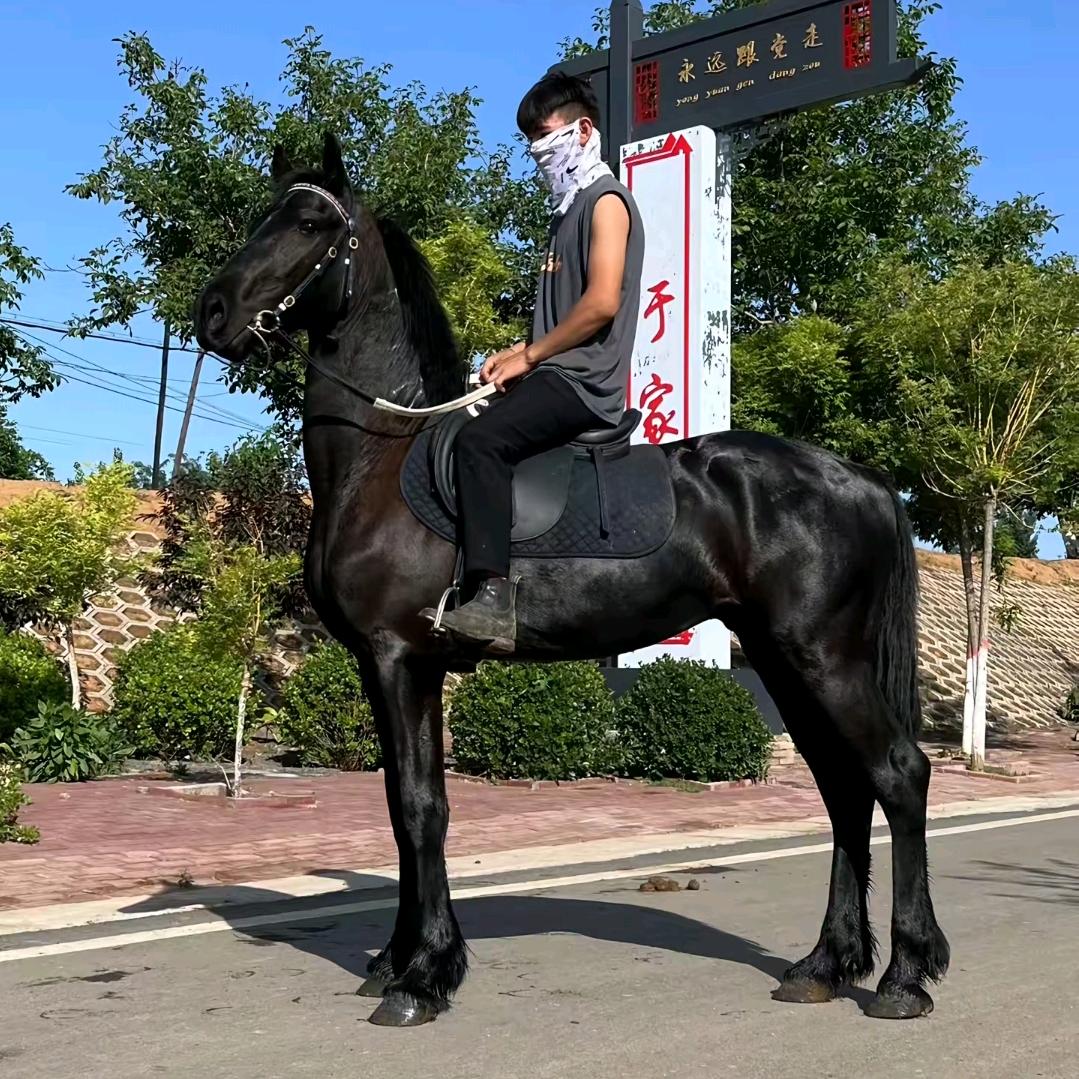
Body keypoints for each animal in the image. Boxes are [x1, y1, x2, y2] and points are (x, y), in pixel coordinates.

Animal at [194, 134, 949, 1027]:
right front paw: (398, 958)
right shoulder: (392, 668)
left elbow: (420, 808)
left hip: (824, 658)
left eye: (309, 224)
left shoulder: (398, 659)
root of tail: (860, 478)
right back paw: (825, 963)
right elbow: (401, 806)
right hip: (782, 659)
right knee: (842, 789)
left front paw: (423, 976)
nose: (211, 312)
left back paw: (903, 975)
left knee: (896, 775)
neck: (383, 457)